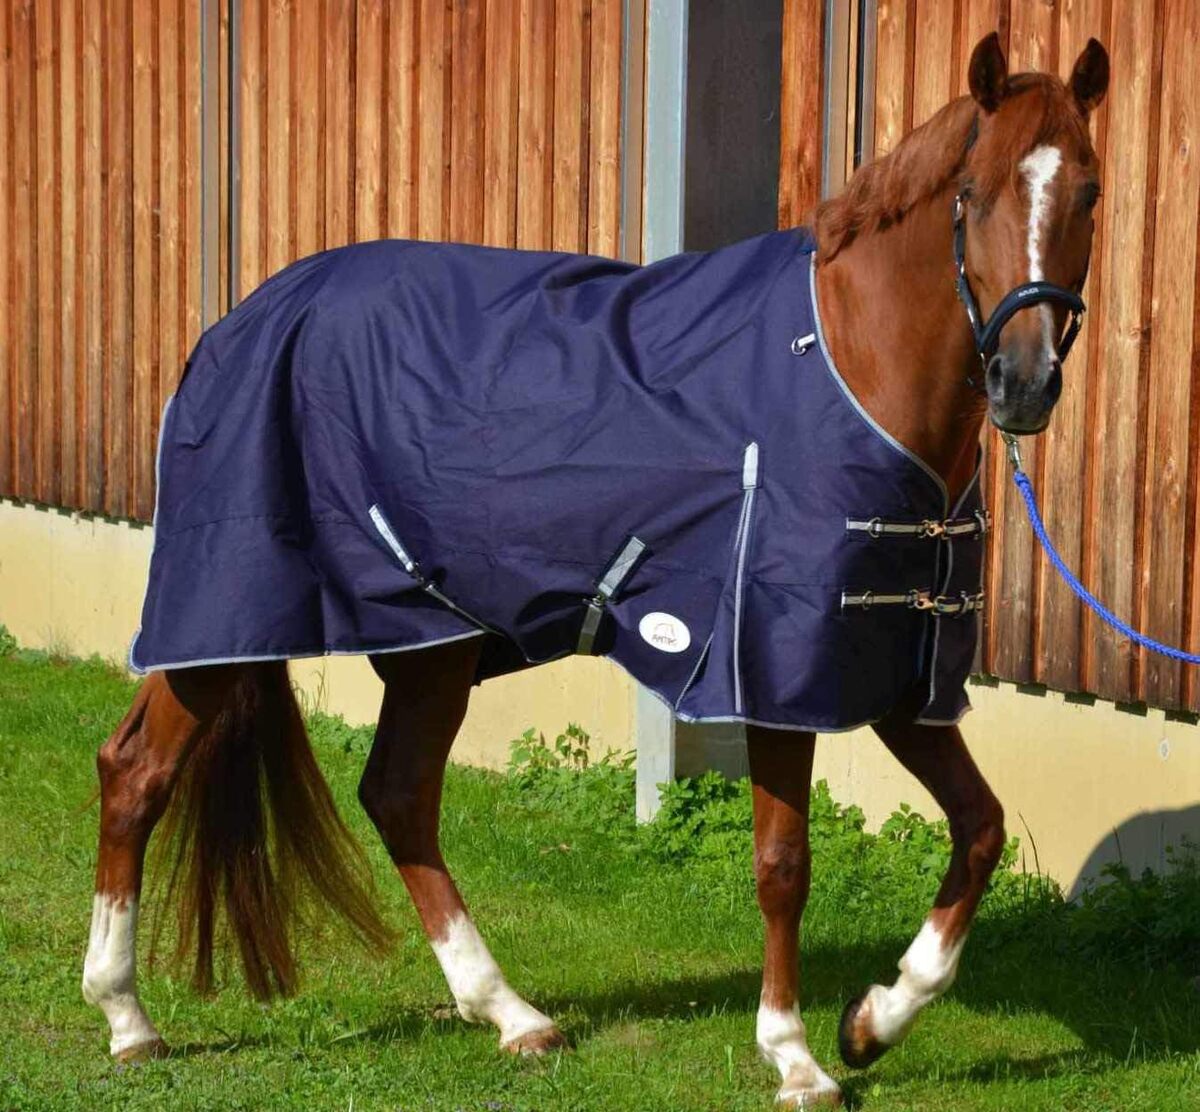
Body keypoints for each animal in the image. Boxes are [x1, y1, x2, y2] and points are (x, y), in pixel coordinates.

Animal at [82, 32, 1108, 1108]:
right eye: (976, 193)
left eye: (1088, 191)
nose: (1024, 383)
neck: (848, 368)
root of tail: (243, 319)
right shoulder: (775, 670)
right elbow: (784, 862)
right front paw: (794, 1054)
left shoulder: (889, 669)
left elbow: (981, 827)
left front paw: (875, 1019)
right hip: (229, 615)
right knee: (137, 772)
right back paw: (127, 1019)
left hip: (431, 639)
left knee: (398, 795)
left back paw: (510, 1012)